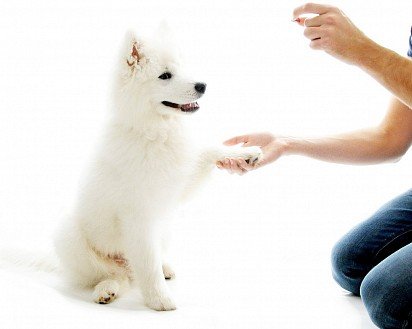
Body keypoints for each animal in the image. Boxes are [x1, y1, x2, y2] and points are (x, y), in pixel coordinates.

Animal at [54, 30, 260, 310]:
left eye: (182, 68)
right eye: (164, 76)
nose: (203, 86)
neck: (155, 132)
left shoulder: (178, 186)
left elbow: (208, 150)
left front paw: (244, 154)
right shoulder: (138, 217)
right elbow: (147, 263)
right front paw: (160, 301)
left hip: (165, 227)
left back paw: (163, 268)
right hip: (70, 236)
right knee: (115, 272)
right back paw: (107, 289)